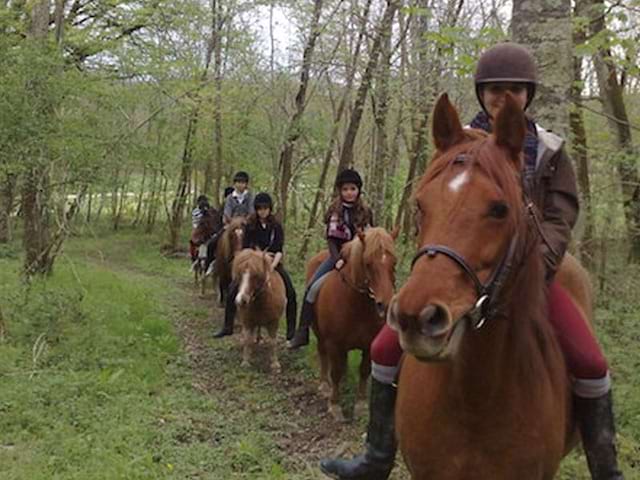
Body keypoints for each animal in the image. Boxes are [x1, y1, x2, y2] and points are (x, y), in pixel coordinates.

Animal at [308, 227, 398, 422]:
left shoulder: (369, 344)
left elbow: (364, 370)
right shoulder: (333, 343)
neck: (356, 305)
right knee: (323, 354)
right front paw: (335, 406)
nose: (385, 304)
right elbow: (335, 371)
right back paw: (324, 386)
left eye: (394, 262)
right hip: (319, 333)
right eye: (368, 263)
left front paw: (361, 405)